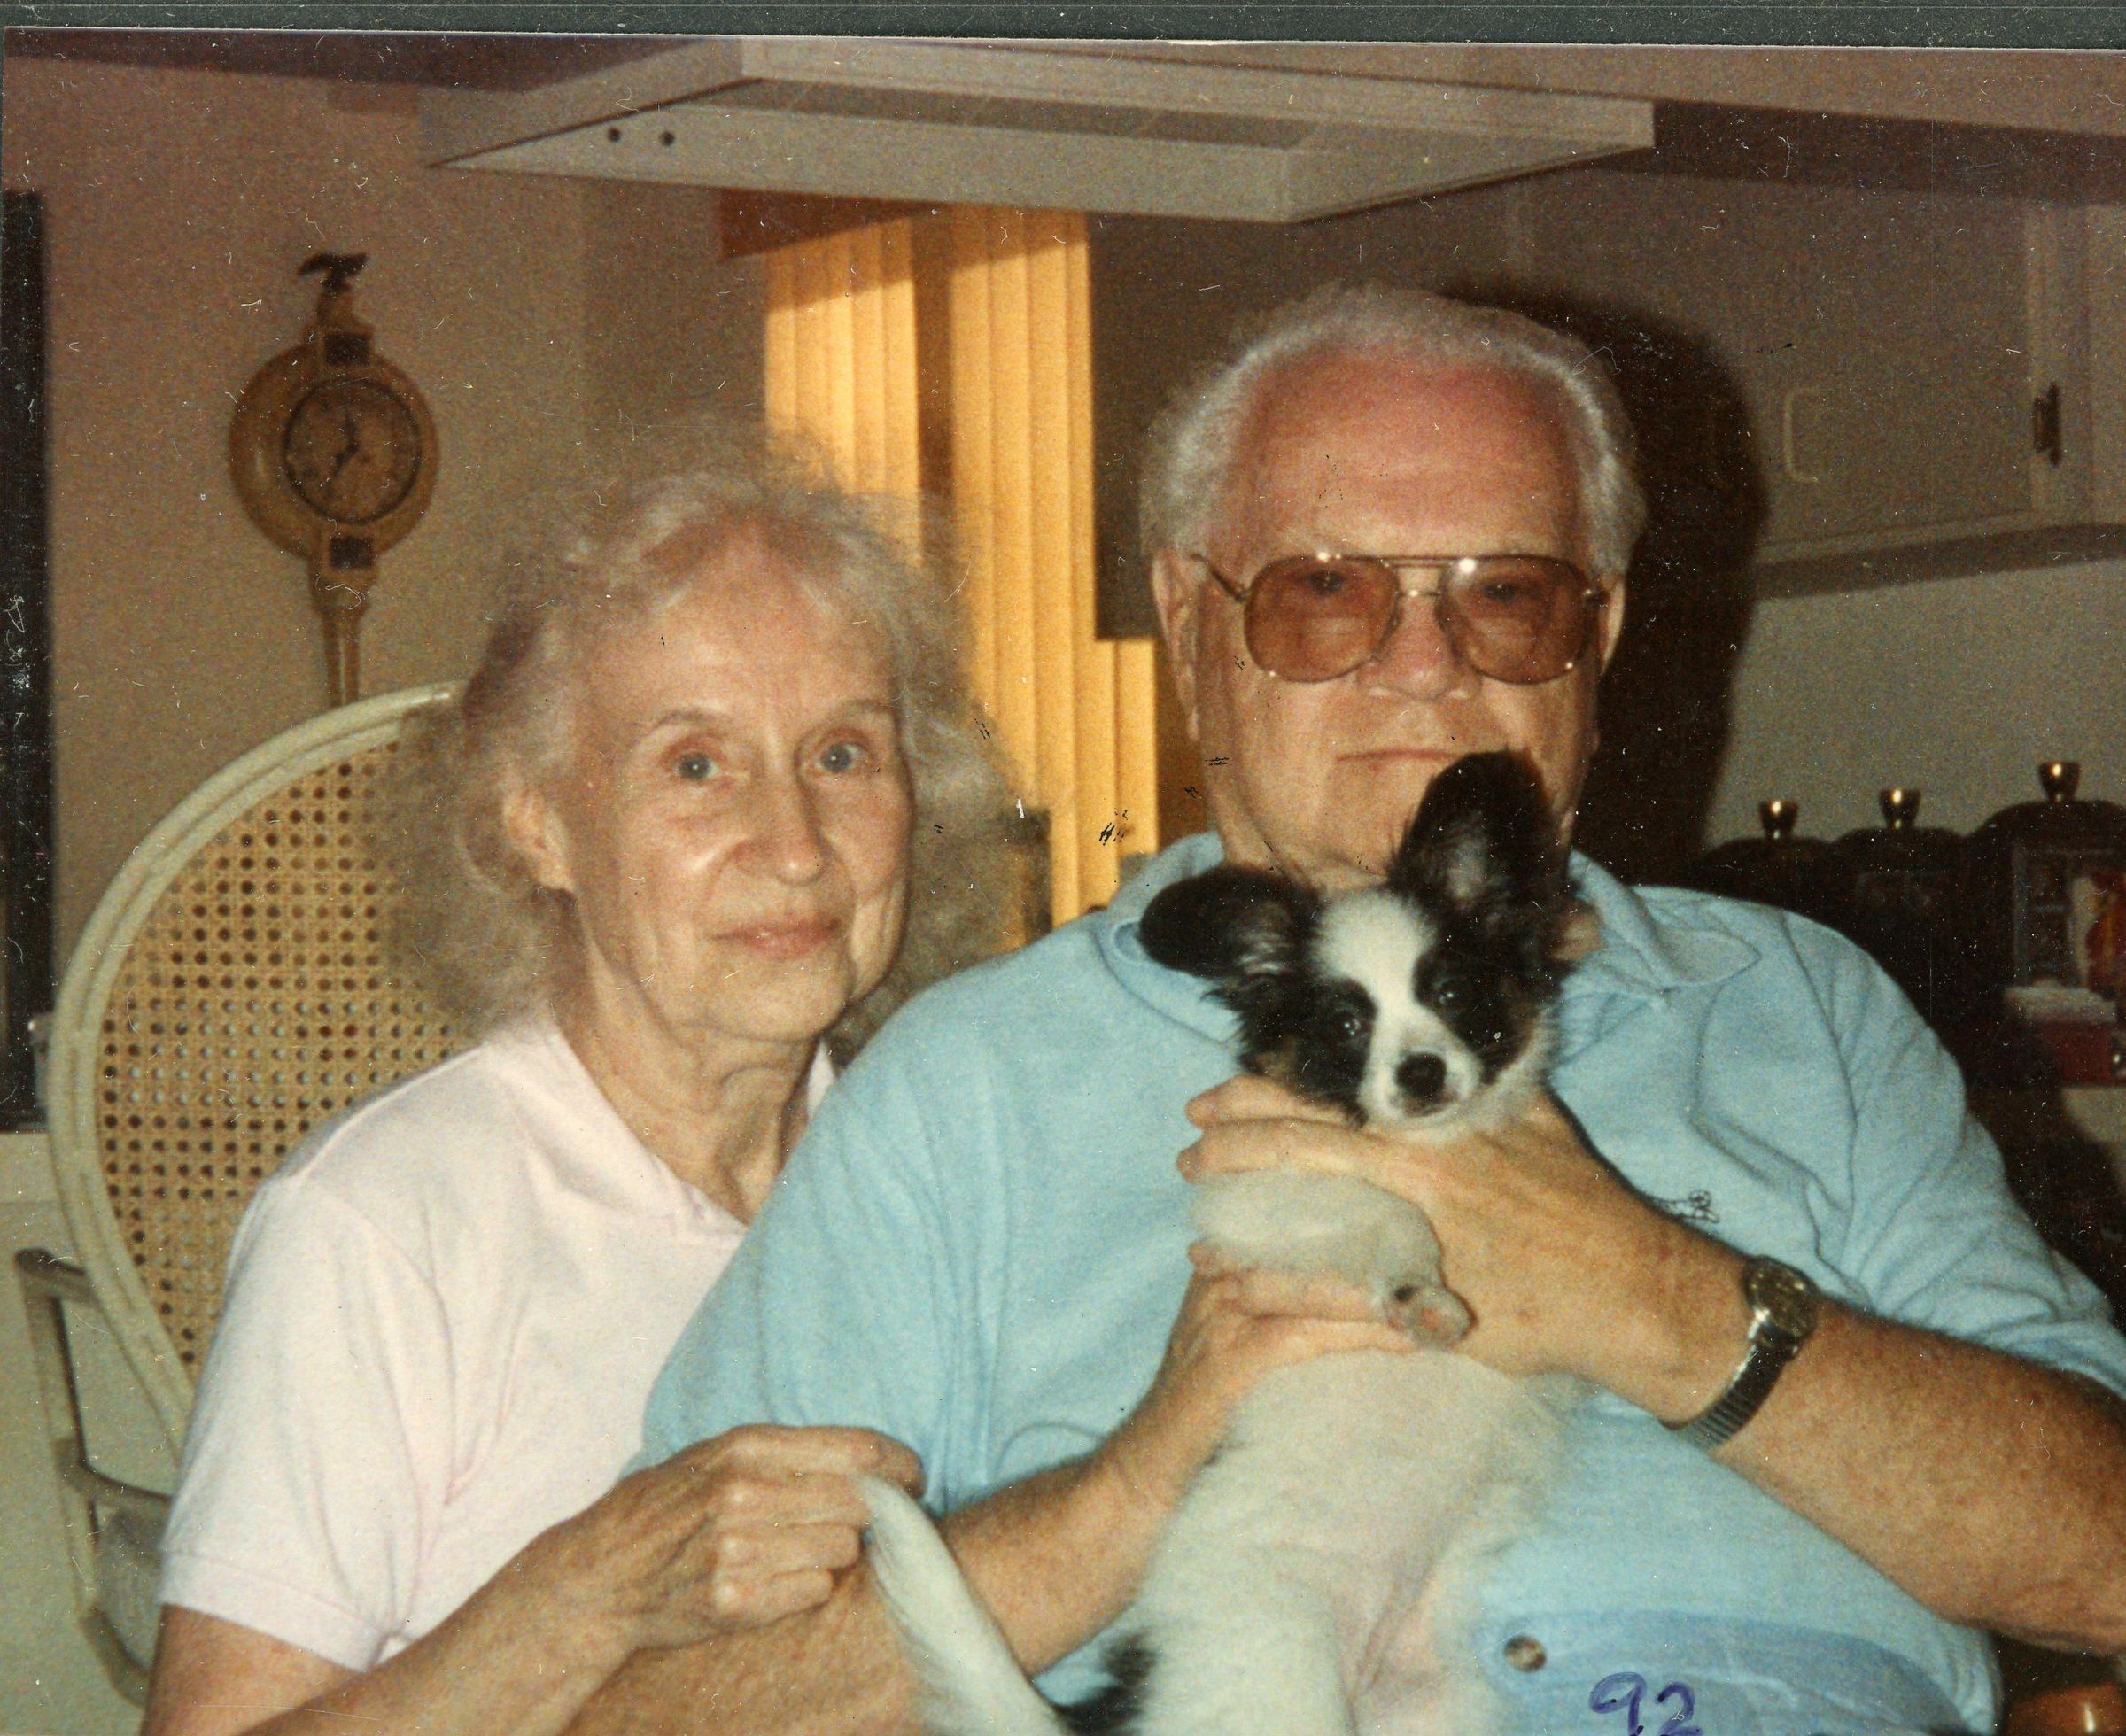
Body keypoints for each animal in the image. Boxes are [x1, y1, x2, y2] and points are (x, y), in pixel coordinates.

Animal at [861, 751, 1596, 1736]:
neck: (1427, 1143)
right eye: (1347, 1024)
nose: (1421, 1073)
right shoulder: (1274, 1201)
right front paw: (1419, 1290)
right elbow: (1389, 1220)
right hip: (1278, 1679)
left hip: (1434, 1707)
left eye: (1450, 992)